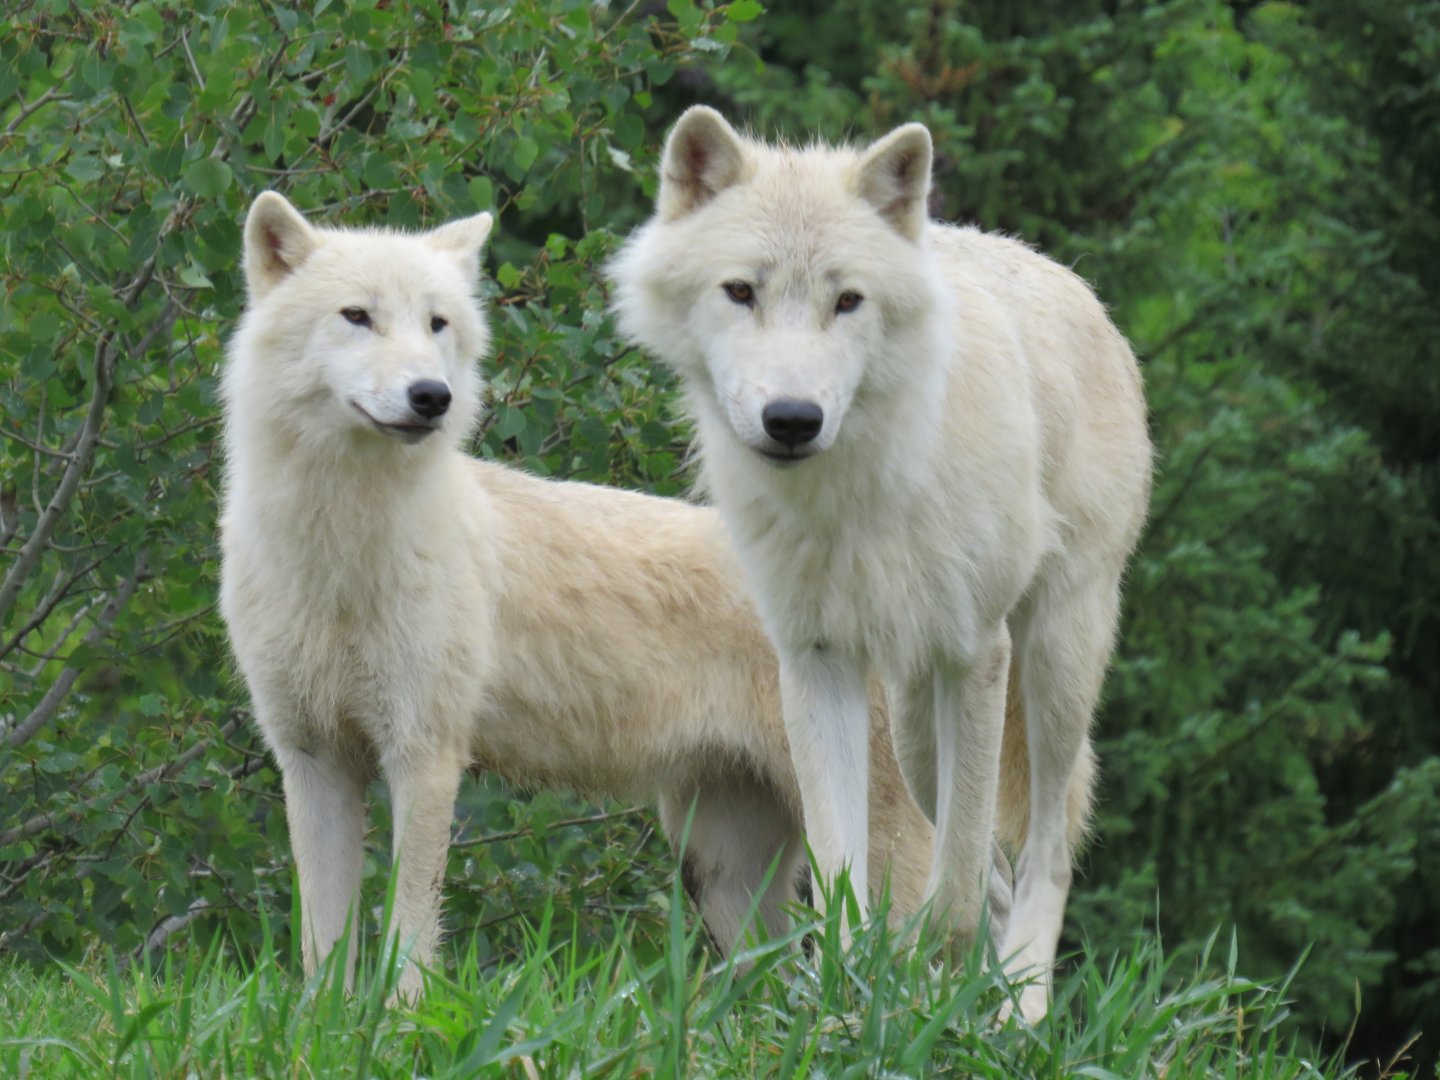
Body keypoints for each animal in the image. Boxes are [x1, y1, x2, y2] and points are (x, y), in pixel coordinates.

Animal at [218, 192, 1018, 1002]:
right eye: (357, 316)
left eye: (436, 324)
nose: (430, 397)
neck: (339, 549)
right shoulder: (311, 759)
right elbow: (322, 950)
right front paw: (327, 1021)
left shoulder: (424, 756)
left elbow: (410, 935)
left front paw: (403, 1019)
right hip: (722, 876)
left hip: (866, 848)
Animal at [609, 108, 1152, 1022]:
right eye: (741, 291)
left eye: (847, 300)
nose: (793, 418)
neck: (853, 494)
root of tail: (1071, 282)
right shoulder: (814, 661)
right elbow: (841, 878)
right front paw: (847, 1001)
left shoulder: (976, 653)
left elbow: (956, 890)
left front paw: (933, 1007)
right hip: (908, 719)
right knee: (994, 868)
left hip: (1052, 664)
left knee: (1040, 853)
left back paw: (1021, 1017)